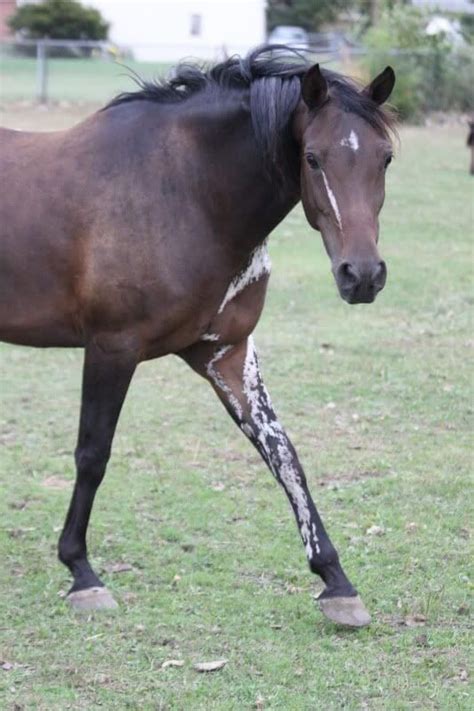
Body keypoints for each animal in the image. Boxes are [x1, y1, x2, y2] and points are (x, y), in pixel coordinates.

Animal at [0, 46, 396, 628]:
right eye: (313, 158)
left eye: (384, 158)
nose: (362, 276)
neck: (187, 192)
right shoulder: (112, 348)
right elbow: (93, 453)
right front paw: (81, 572)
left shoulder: (225, 353)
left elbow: (282, 453)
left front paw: (336, 581)